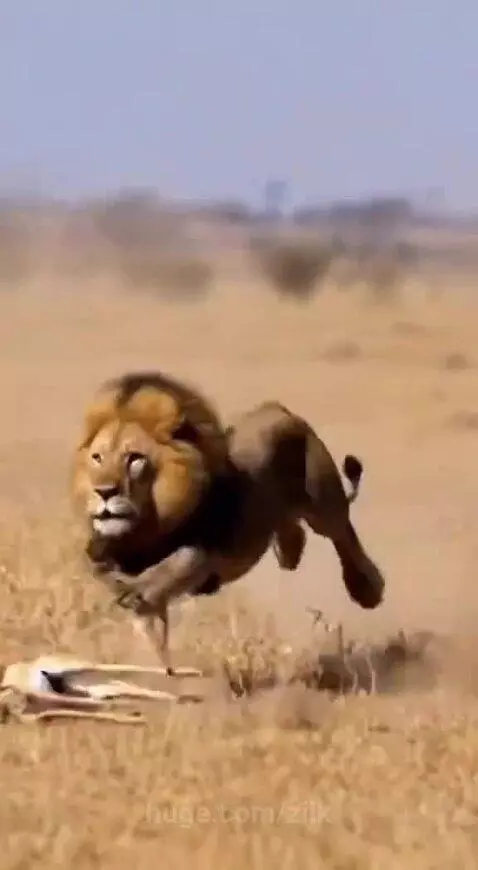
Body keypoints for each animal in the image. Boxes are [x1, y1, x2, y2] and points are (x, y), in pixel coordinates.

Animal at [72, 371, 385, 676]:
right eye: (97, 458)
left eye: (134, 459)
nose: (104, 491)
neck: (143, 528)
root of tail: (280, 410)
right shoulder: (103, 552)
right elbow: (107, 574)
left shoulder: (207, 548)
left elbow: (178, 562)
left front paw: (137, 593)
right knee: (291, 528)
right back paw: (290, 551)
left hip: (322, 500)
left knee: (342, 531)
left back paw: (366, 588)